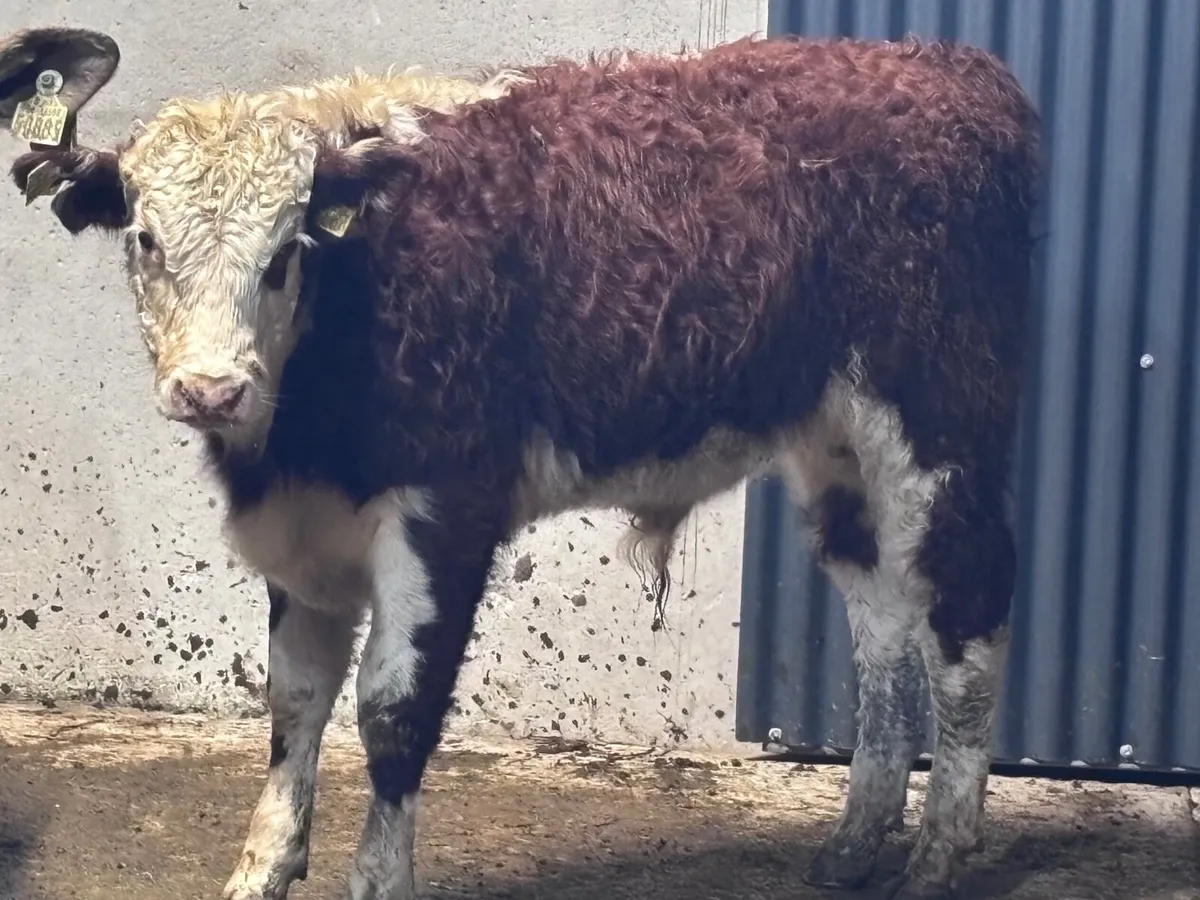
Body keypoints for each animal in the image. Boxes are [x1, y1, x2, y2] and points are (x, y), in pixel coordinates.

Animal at [2, 27, 1042, 900]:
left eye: (285, 252)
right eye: (146, 239)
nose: (211, 391)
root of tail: (944, 68)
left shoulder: (445, 509)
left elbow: (393, 709)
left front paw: (377, 880)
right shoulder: (301, 528)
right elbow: (295, 701)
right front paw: (261, 871)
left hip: (939, 414)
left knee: (967, 601)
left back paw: (940, 854)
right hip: (833, 441)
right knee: (883, 615)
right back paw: (856, 841)